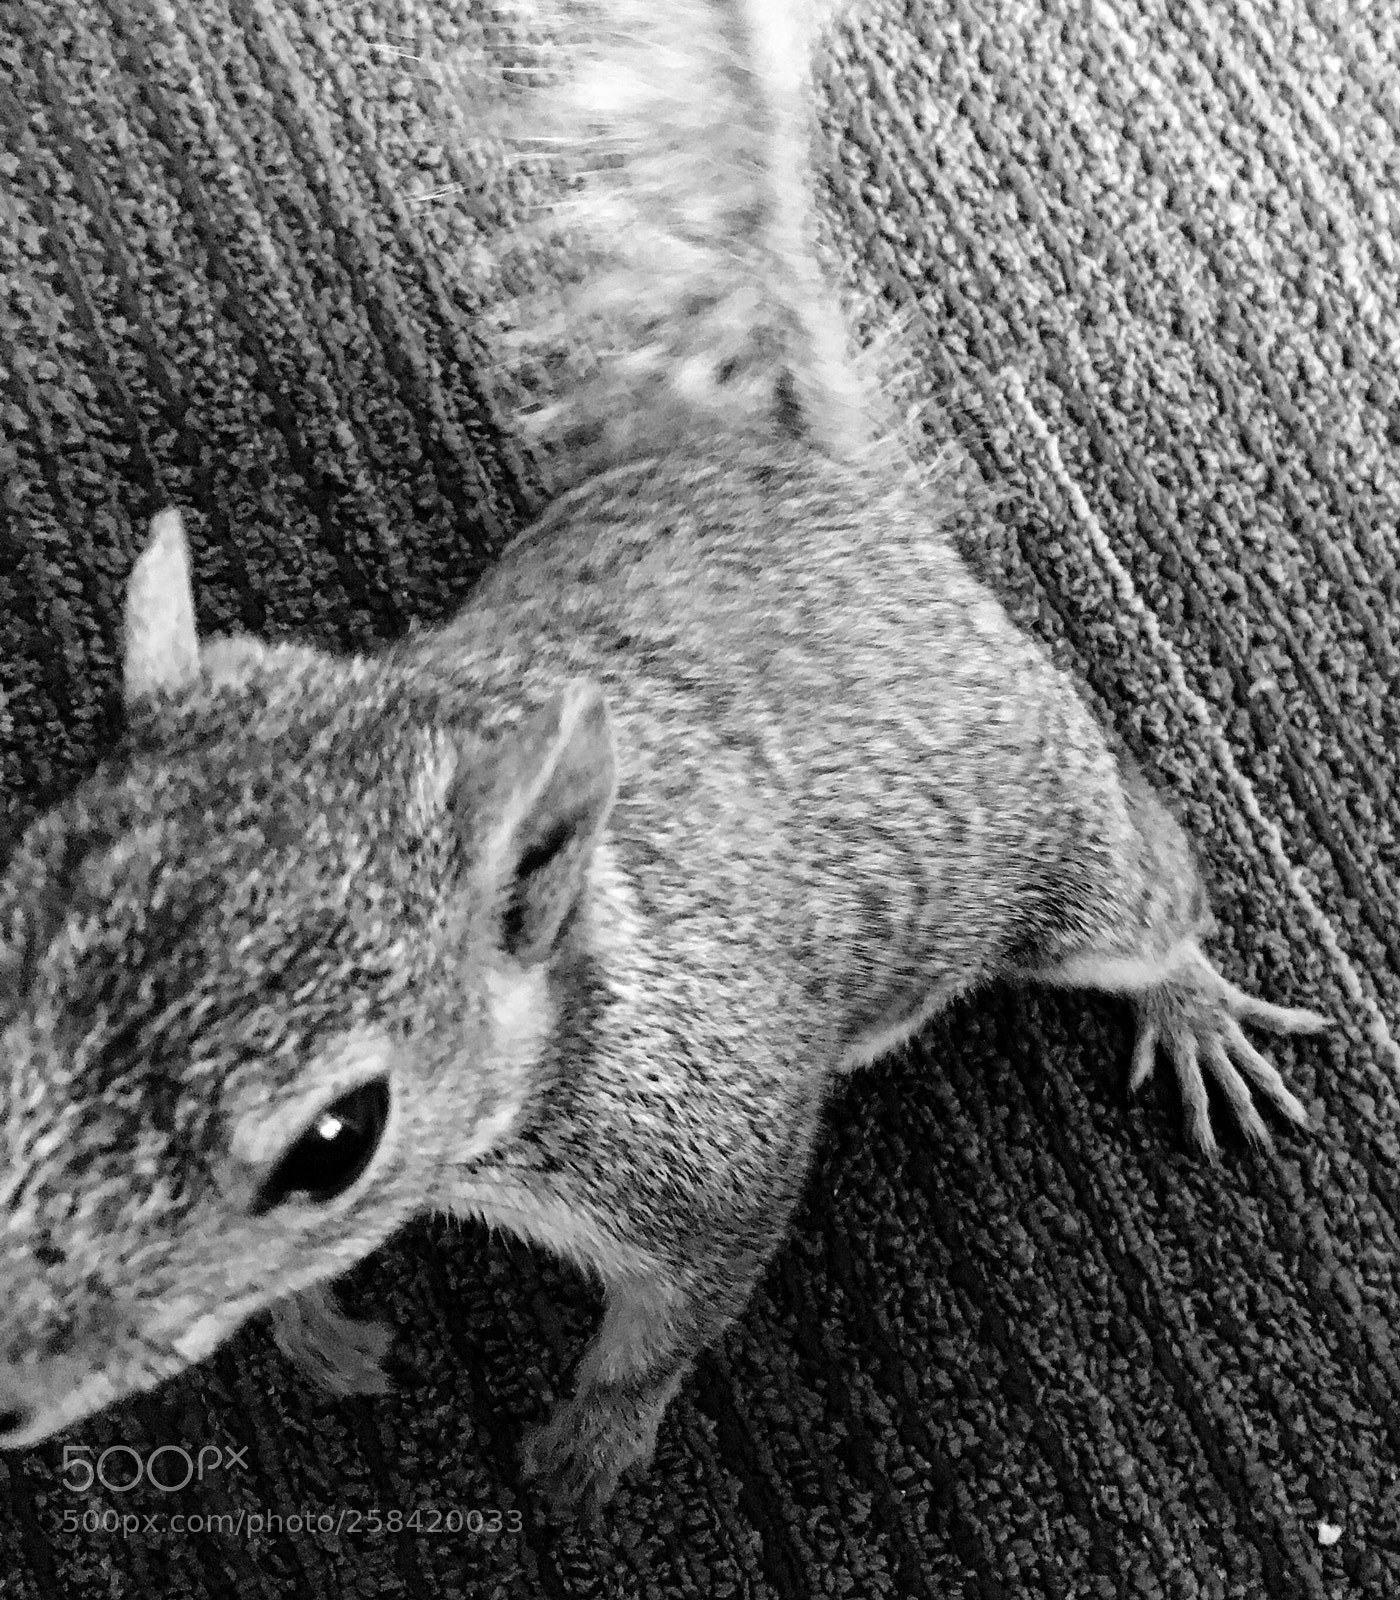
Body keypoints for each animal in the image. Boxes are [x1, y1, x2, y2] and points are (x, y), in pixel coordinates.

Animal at [0, 0, 1327, 1515]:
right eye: (5, 939)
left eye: (339, 1140)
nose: (9, 1391)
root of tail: (820, 488)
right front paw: (314, 1332)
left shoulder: (712, 1158)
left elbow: (671, 1327)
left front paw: (585, 1455)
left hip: (1058, 849)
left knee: (1148, 894)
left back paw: (1193, 1008)